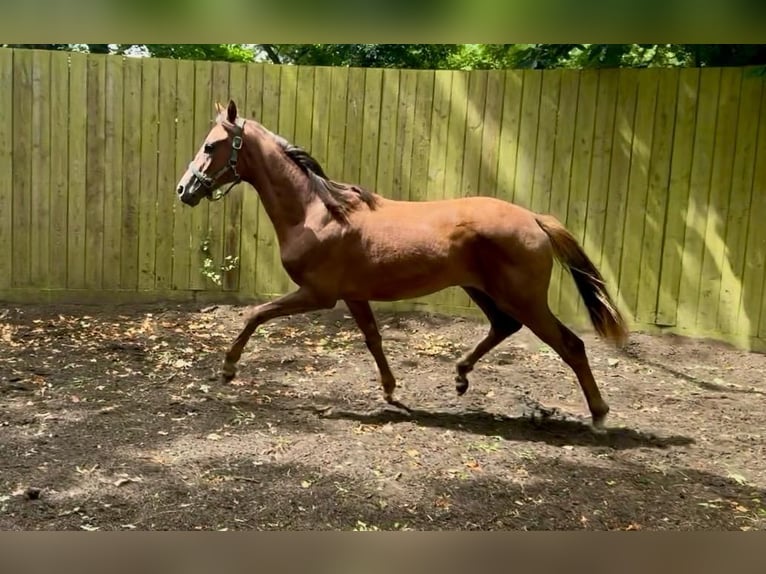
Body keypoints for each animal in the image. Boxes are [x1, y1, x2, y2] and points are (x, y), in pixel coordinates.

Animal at [175, 100, 628, 431]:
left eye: (211, 145)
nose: (184, 189)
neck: (317, 213)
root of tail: (535, 218)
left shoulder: (318, 295)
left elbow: (256, 313)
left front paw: (228, 368)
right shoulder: (353, 296)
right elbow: (374, 339)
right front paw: (391, 392)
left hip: (525, 298)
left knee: (570, 345)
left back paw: (600, 415)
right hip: (482, 289)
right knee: (504, 326)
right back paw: (460, 376)